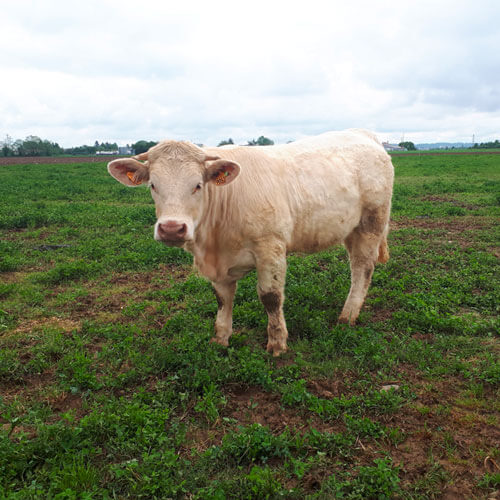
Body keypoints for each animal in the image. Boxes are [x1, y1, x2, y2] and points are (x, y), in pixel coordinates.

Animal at [109, 129, 394, 356]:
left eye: (198, 185)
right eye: (153, 185)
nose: (171, 229)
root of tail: (363, 133)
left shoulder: (270, 247)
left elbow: (271, 297)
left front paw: (277, 343)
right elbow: (222, 298)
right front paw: (221, 338)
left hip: (372, 222)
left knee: (362, 268)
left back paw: (348, 315)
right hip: (351, 228)